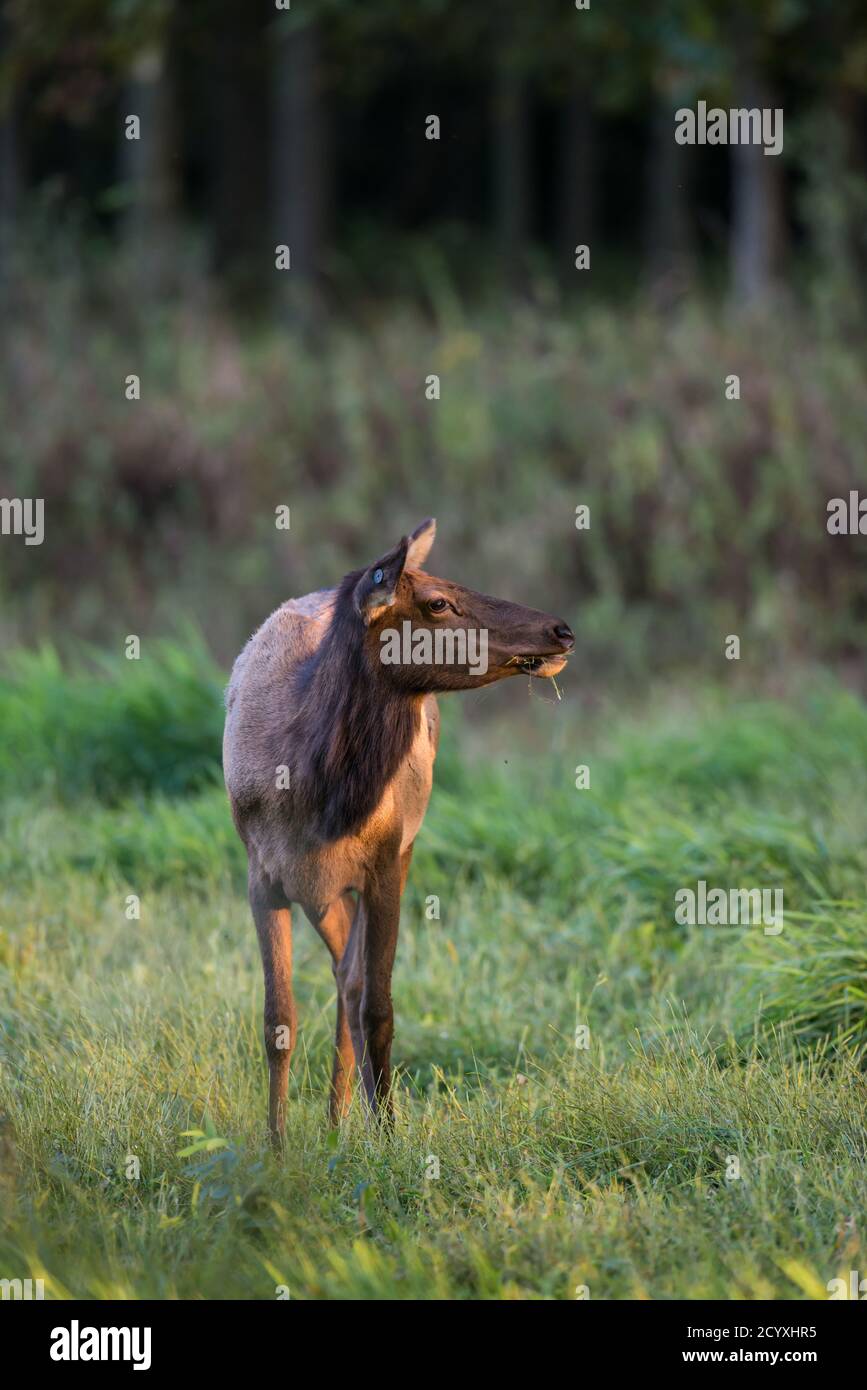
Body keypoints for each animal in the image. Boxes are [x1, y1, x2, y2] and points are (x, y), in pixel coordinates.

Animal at [223, 522, 575, 1150]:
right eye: (437, 602)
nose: (560, 629)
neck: (319, 797)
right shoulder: (260, 873)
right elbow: (278, 1019)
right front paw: (277, 1148)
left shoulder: (388, 860)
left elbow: (378, 1007)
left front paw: (387, 1133)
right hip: (316, 890)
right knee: (342, 973)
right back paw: (335, 1121)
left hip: (377, 864)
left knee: (351, 981)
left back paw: (343, 1119)